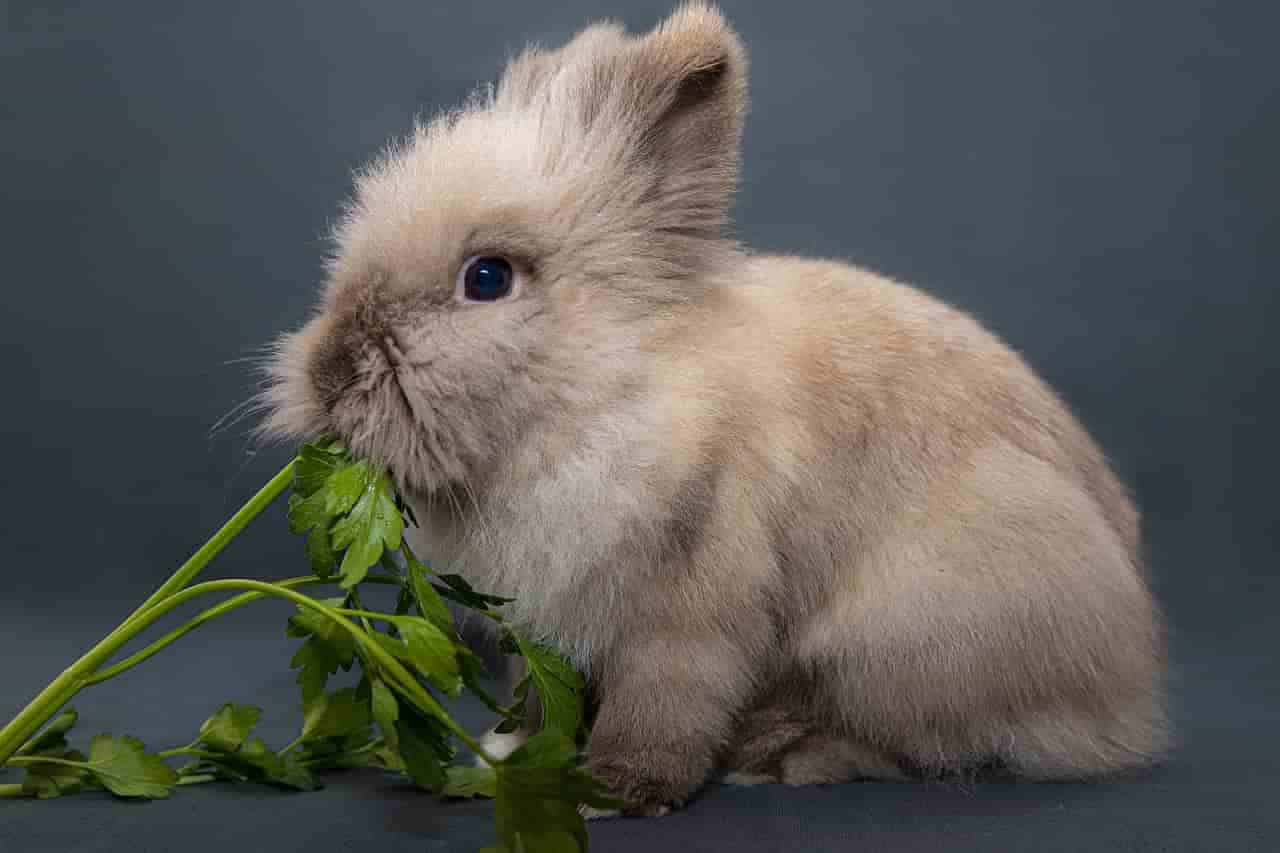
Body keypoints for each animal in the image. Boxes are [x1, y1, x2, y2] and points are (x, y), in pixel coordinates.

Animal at [262, 1, 1172, 819]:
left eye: (486, 278)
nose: (331, 372)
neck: (599, 393)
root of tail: (1133, 686)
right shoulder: (548, 623)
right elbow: (539, 696)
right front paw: (506, 752)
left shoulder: (690, 606)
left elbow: (664, 705)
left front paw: (610, 790)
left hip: (908, 638)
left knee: (927, 741)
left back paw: (784, 753)